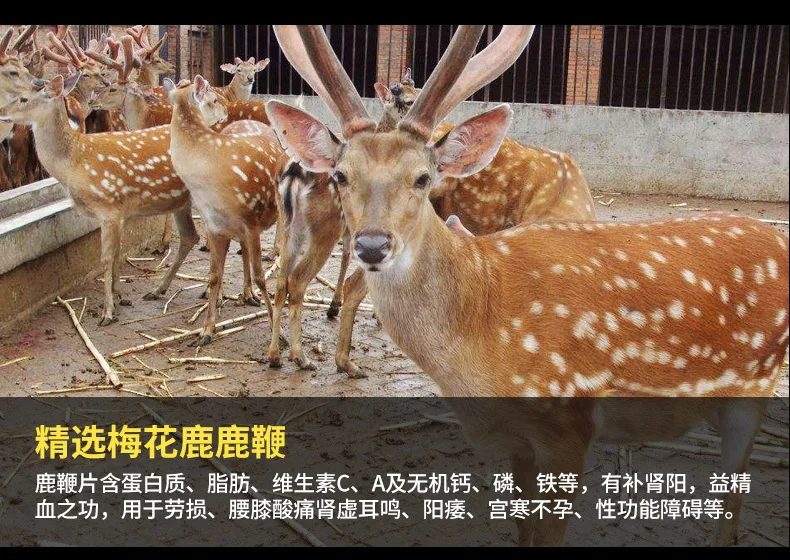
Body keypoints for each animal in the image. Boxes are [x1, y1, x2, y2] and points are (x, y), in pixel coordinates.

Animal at [0, 71, 228, 325]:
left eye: (23, 98)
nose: (2, 112)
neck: (74, 161)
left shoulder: (107, 207)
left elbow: (105, 258)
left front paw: (107, 312)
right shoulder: (119, 212)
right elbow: (118, 252)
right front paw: (120, 297)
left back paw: (216, 297)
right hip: (180, 200)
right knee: (190, 237)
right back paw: (159, 289)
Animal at [166, 75, 284, 347]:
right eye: (213, 100)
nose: (226, 113)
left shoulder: (251, 219)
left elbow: (261, 275)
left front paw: (278, 333)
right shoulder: (213, 225)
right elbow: (213, 275)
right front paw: (206, 331)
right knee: (241, 253)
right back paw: (242, 294)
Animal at [266, 25, 790, 547]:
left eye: (422, 177)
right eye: (340, 175)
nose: (372, 245)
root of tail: (778, 239)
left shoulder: (567, 425)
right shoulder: (517, 442)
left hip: (757, 384)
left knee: (732, 502)